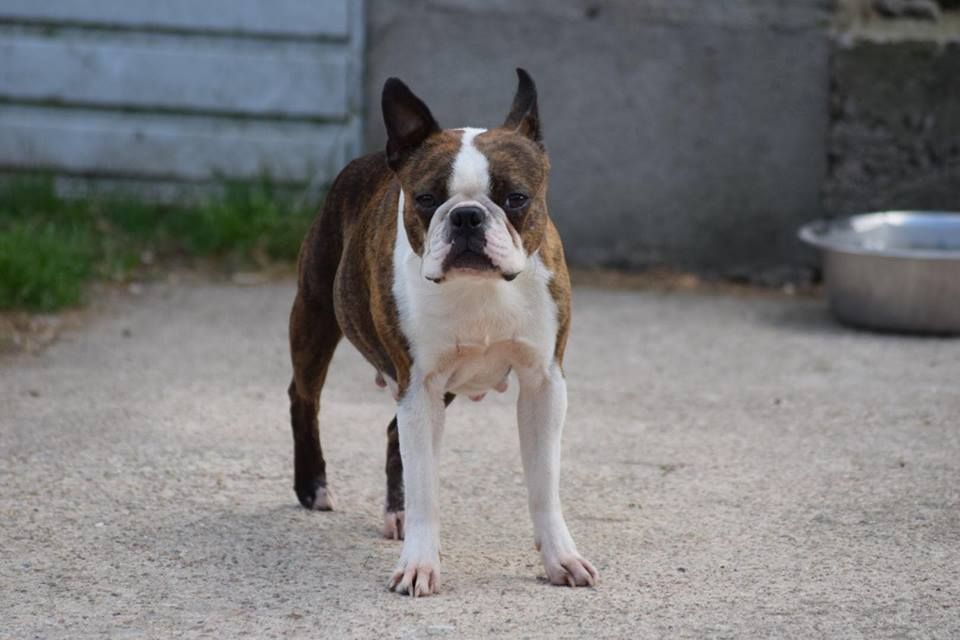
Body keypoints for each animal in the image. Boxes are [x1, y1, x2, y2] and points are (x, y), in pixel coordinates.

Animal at [287, 69, 597, 596]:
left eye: (516, 199)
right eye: (427, 200)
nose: (467, 215)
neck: (481, 291)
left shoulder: (543, 384)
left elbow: (544, 483)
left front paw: (560, 557)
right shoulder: (420, 385)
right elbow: (426, 486)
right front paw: (420, 564)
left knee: (393, 432)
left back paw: (395, 513)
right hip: (315, 318)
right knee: (303, 396)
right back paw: (314, 486)